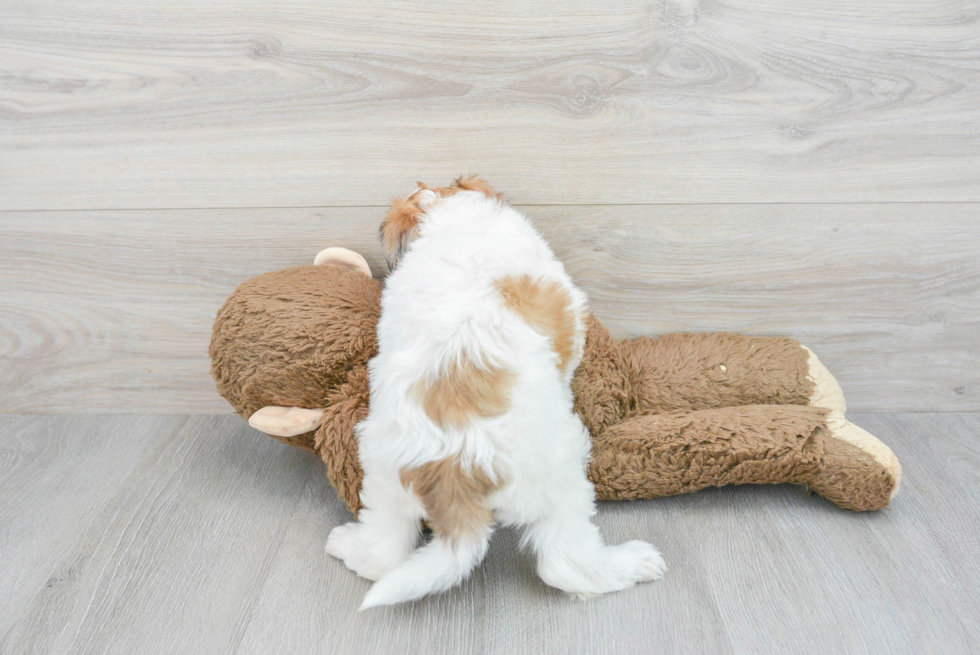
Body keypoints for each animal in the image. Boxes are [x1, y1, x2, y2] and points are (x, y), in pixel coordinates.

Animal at [322, 177, 668, 608]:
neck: (453, 219)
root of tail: (455, 467)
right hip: (562, 478)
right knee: (565, 564)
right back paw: (633, 564)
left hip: (383, 477)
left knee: (382, 553)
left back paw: (345, 545)